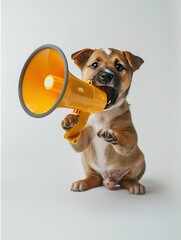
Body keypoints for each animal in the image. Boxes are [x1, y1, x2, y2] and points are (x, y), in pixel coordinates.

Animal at [61, 47, 146, 194]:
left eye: (119, 66)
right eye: (94, 64)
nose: (106, 76)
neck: (102, 114)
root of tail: (110, 180)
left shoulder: (131, 137)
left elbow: (125, 137)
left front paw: (111, 133)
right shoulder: (83, 141)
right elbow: (79, 139)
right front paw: (70, 119)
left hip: (140, 160)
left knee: (127, 179)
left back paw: (134, 185)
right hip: (86, 160)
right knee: (95, 177)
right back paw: (83, 182)